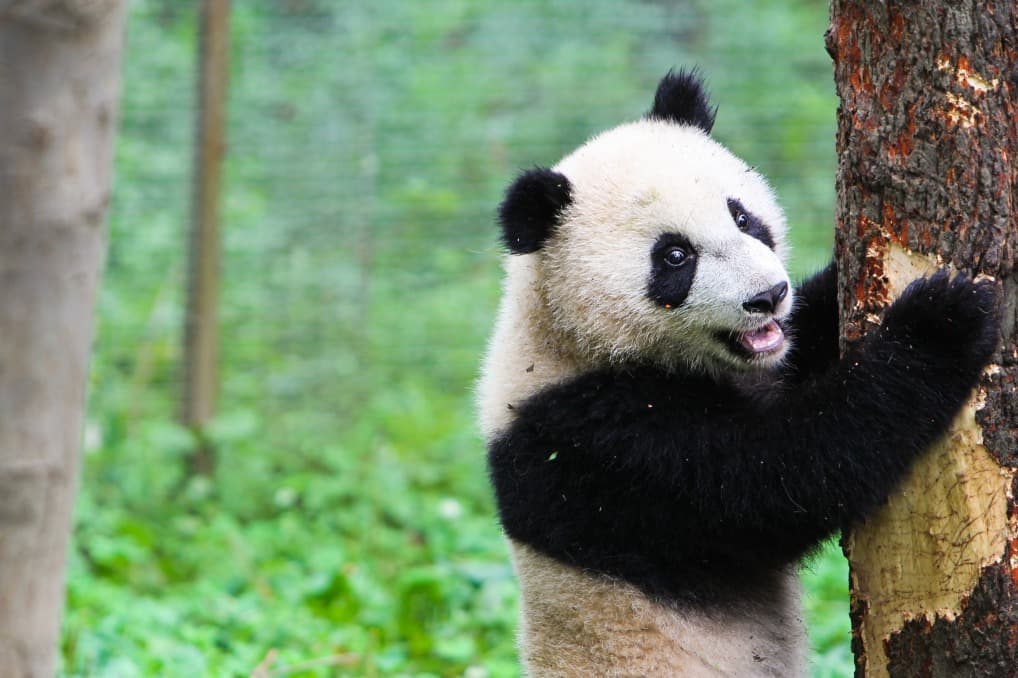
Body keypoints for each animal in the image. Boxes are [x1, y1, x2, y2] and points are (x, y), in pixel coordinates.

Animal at [477, 69, 1000, 677]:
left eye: (743, 216)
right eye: (675, 257)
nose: (769, 296)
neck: (564, 332)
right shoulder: (601, 441)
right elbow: (784, 475)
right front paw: (944, 320)